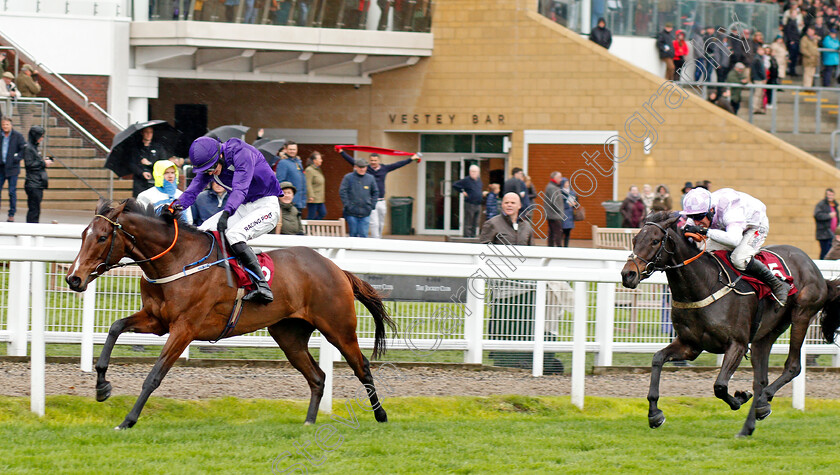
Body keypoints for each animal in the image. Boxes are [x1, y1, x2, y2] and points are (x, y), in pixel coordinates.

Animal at [66, 199, 398, 430]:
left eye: (102, 237)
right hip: (289, 335)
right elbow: (115, 327)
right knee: (317, 377)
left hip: (338, 327)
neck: (177, 261)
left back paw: (381, 416)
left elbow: (154, 376)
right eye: (82, 234)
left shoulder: (185, 328)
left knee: (362, 367)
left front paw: (128, 420)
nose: (74, 279)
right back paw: (308, 421)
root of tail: (336, 268)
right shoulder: (157, 320)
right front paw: (102, 387)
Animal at [616, 212, 840, 438]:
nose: (628, 275)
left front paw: (739, 398)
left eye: (654, 241)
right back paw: (749, 425)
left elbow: (720, 386)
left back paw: (763, 402)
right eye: (635, 240)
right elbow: (657, 359)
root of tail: (818, 272)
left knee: (792, 366)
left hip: (802, 315)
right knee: (760, 380)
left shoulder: (737, 345)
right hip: (764, 335)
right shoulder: (690, 345)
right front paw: (654, 414)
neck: (703, 285)